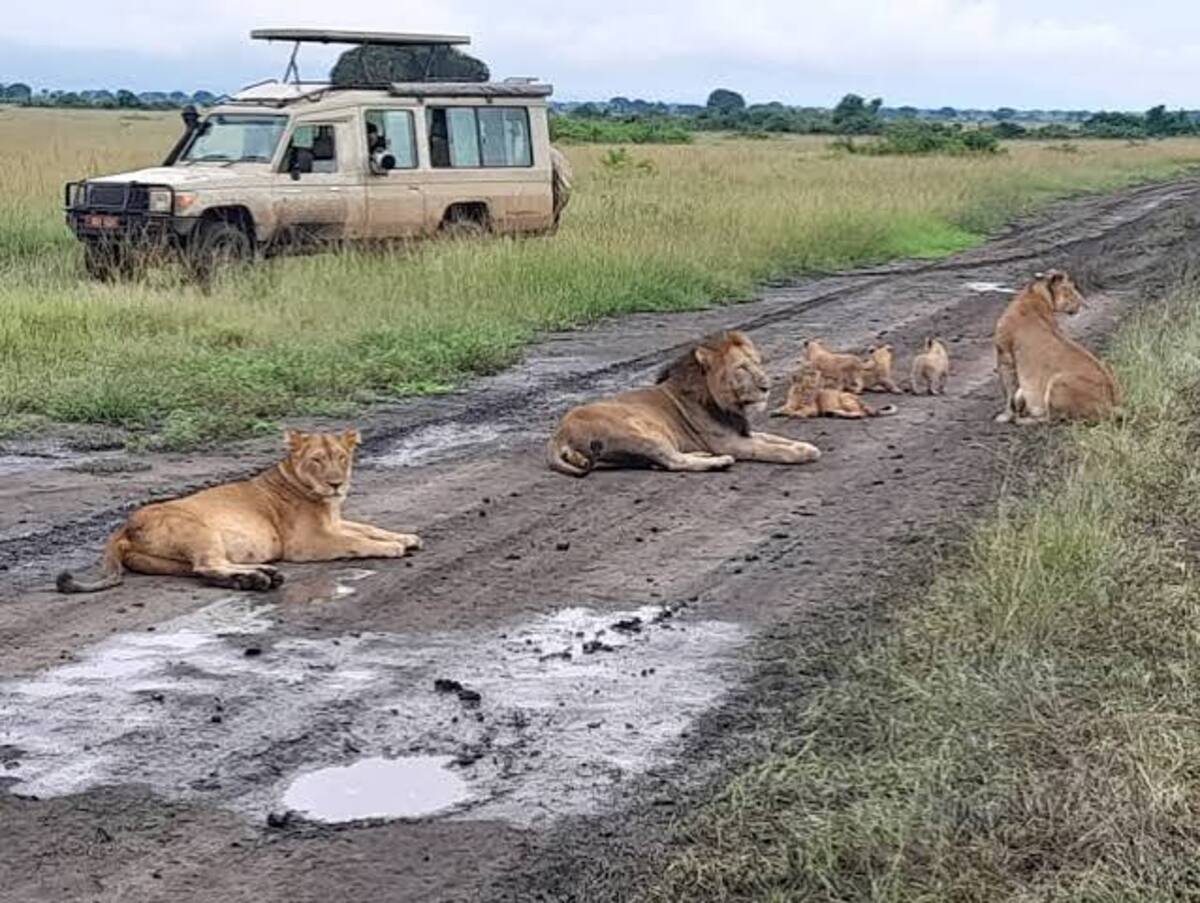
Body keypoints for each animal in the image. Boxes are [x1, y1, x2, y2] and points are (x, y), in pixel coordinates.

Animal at [56, 429, 422, 594]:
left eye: (342, 458)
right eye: (317, 459)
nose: (336, 483)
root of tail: (123, 526)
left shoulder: (334, 523)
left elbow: (368, 527)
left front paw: (407, 537)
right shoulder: (306, 543)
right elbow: (356, 542)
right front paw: (393, 547)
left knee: (204, 569)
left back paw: (259, 575)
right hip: (197, 528)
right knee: (206, 566)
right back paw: (260, 579)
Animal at [547, 330, 820, 476]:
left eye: (758, 363)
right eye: (742, 368)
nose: (766, 386)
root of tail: (559, 434)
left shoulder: (743, 432)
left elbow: (775, 438)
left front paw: (805, 445)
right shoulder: (729, 442)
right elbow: (770, 449)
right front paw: (802, 454)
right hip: (639, 431)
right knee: (672, 461)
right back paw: (719, 461)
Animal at [993, 270, 1121, 424]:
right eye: (1070, 290)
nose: (1085, 304)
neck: (1036, 294)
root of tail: (1114, 403)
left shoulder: (1005, 356)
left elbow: (1009, 391)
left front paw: (1005, 416)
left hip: (1057, 381)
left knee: (1052, 418)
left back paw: (1025, 420)